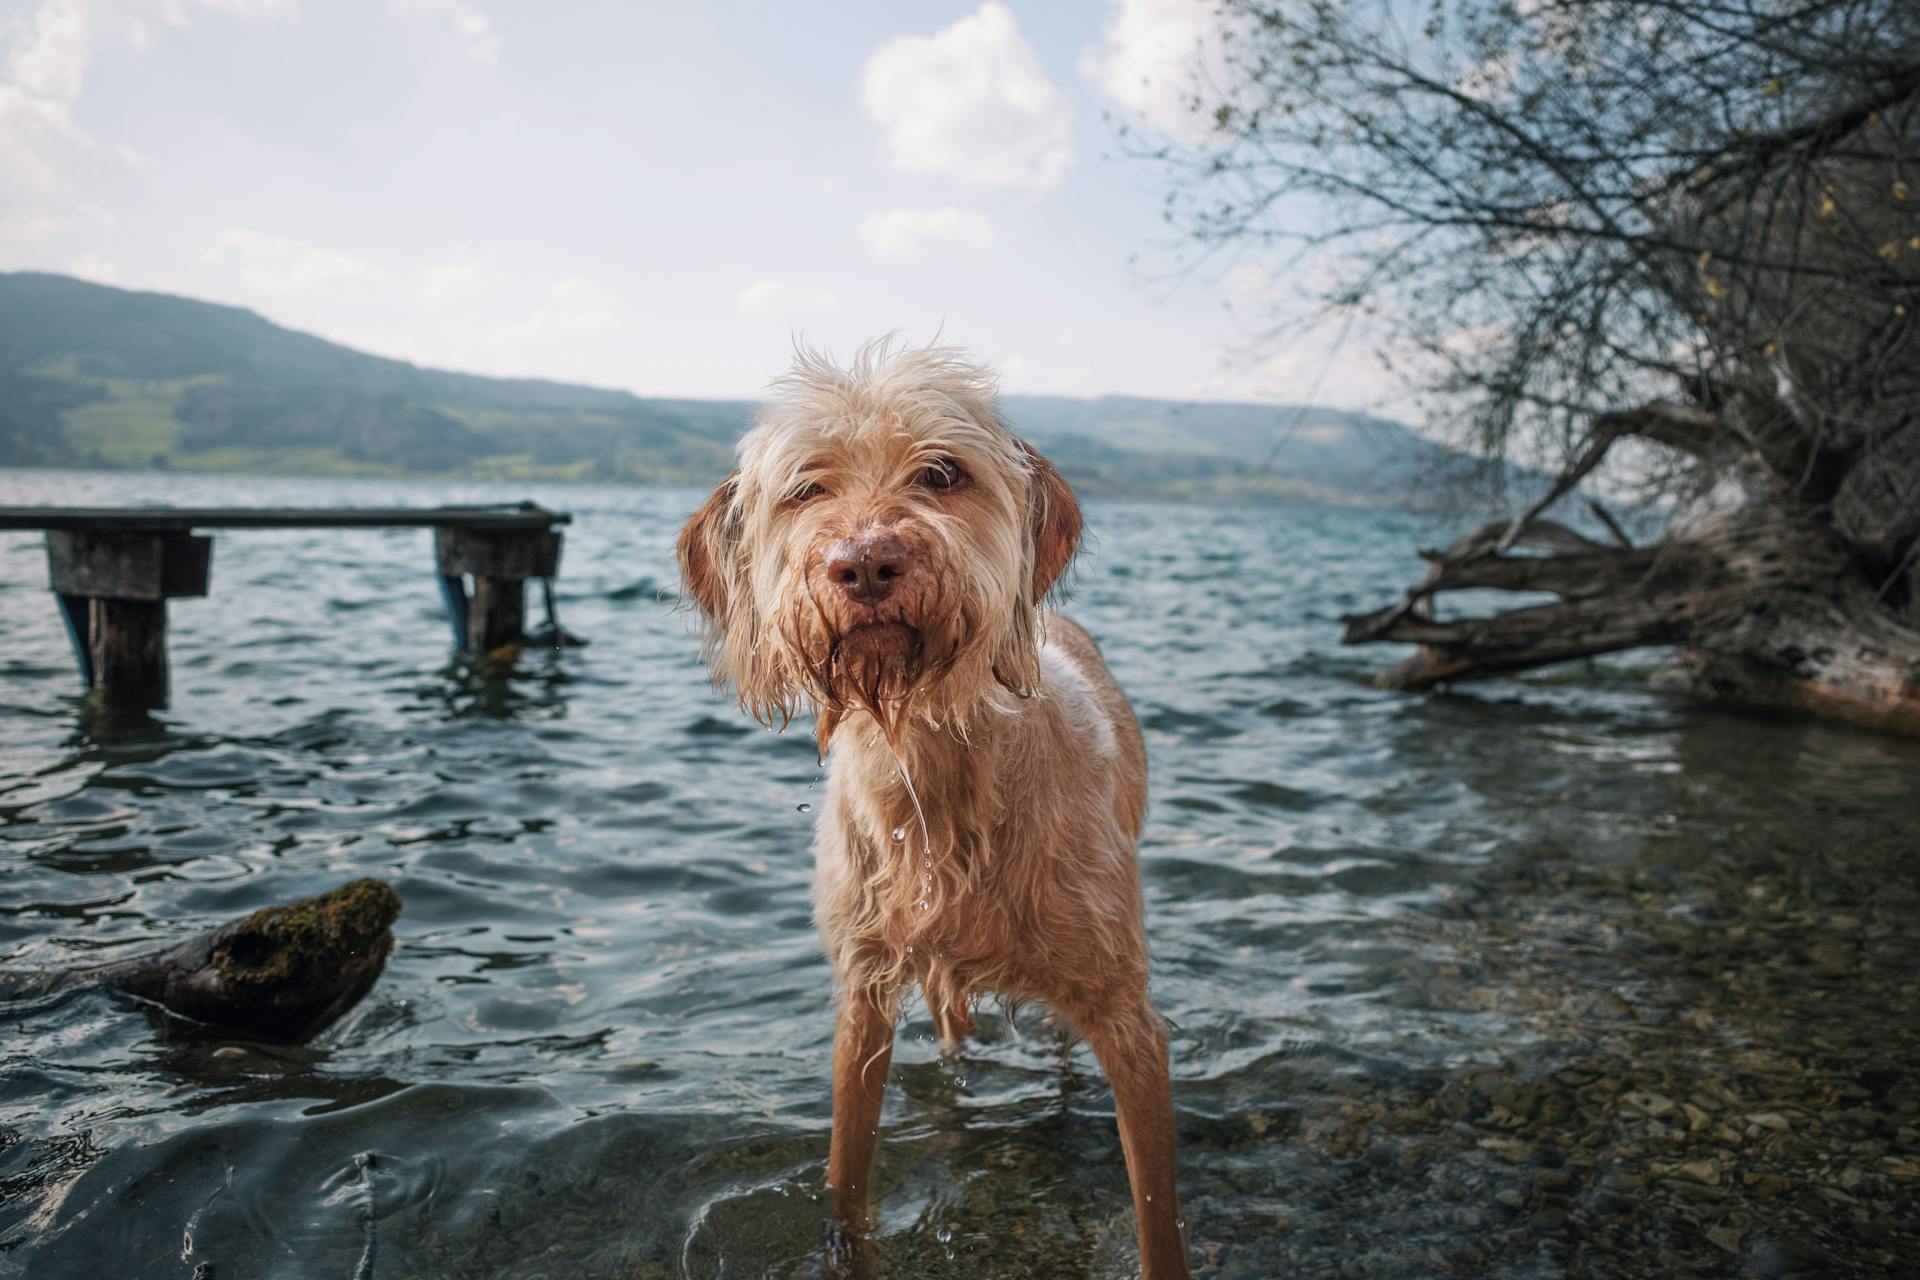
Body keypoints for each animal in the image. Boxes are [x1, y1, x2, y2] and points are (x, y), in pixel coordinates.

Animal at [675, 345, 1182, 1274]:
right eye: (806, 489)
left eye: (943, 473)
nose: (865, 563)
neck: (934, 777)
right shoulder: (864, 996)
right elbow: (845, 1177)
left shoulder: (1130, 1025)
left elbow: (1159, 1222)